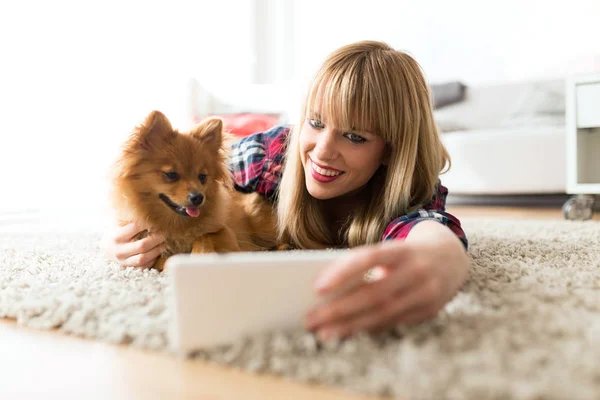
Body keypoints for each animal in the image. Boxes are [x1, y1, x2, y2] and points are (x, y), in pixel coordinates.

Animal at [110, 111, 278, 270]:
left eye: (202, 177)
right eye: (171, 175)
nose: (198, 197)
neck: (176, 223)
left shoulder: (226, 234)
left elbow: (204, 237)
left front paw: (199, 255)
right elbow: (165, 259)